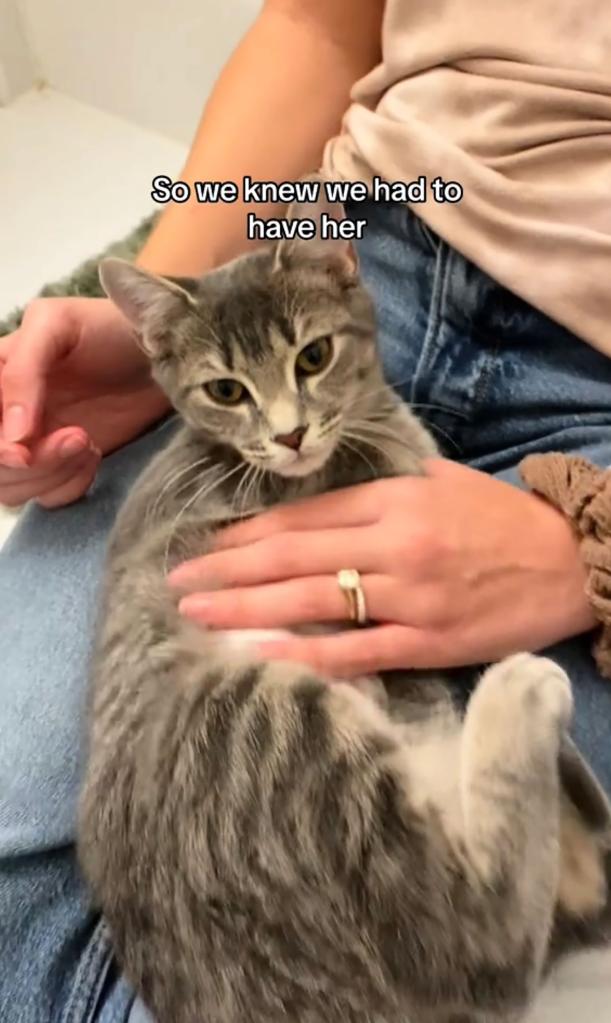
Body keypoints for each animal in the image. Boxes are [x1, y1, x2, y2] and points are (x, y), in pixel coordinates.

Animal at [78, 192, 605, 1023]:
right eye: (226, 390)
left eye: (312, 356)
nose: (290, 433)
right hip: (272, 718)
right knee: (486, 945)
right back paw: (517, 696)